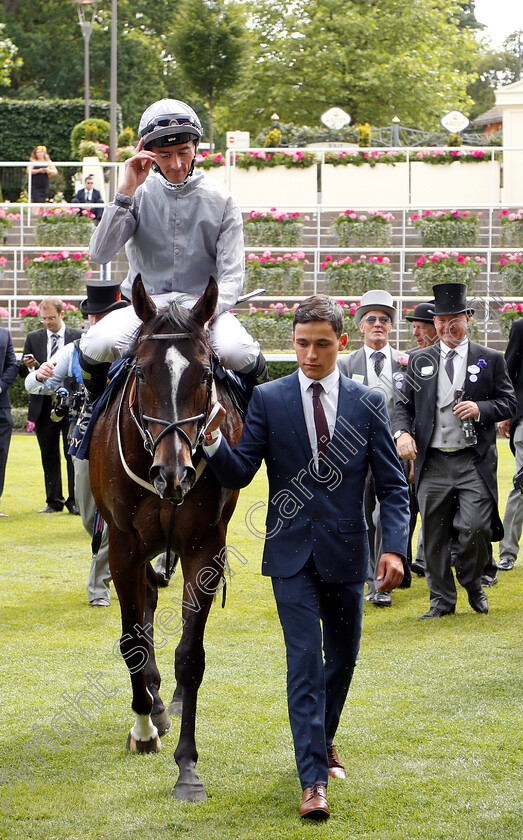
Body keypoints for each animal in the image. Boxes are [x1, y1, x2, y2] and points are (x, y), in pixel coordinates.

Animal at [89, 276, 244, 800]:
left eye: (205, 374)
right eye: (142, 372)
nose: (173, 473)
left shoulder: (205, 548)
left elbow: (190, 656)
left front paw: (187, 767)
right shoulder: (123, 545)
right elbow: (131, 640)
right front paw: (143, 729)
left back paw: (166, 701)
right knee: (146, 613)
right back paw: (153, 705)